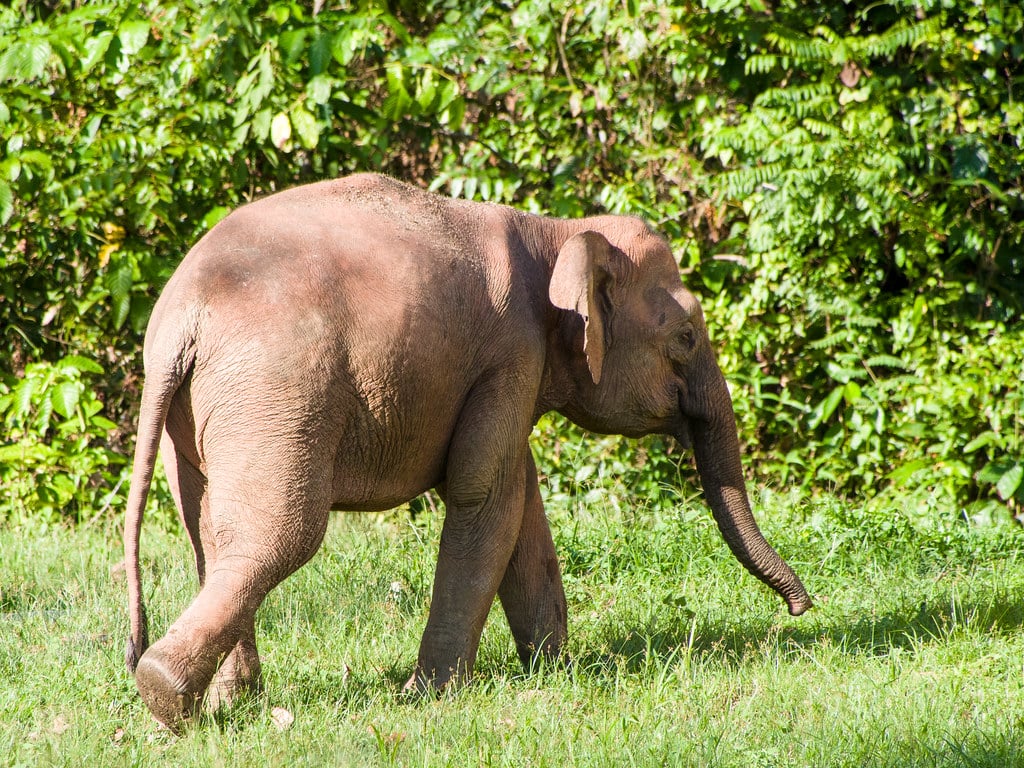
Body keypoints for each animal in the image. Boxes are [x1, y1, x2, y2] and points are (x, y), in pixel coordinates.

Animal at [123, 172, 811, 730]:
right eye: (687, 336)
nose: (801, 610)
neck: (556, 233)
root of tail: (182, 317)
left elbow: (520, 500)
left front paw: (556, 672)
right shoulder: (511, 352)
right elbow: (486, 496)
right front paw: (427, 696)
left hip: (205, 408)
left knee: (207, 528)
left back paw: (226, 701)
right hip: (278, 387)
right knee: (278, 533)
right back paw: (166, 695)